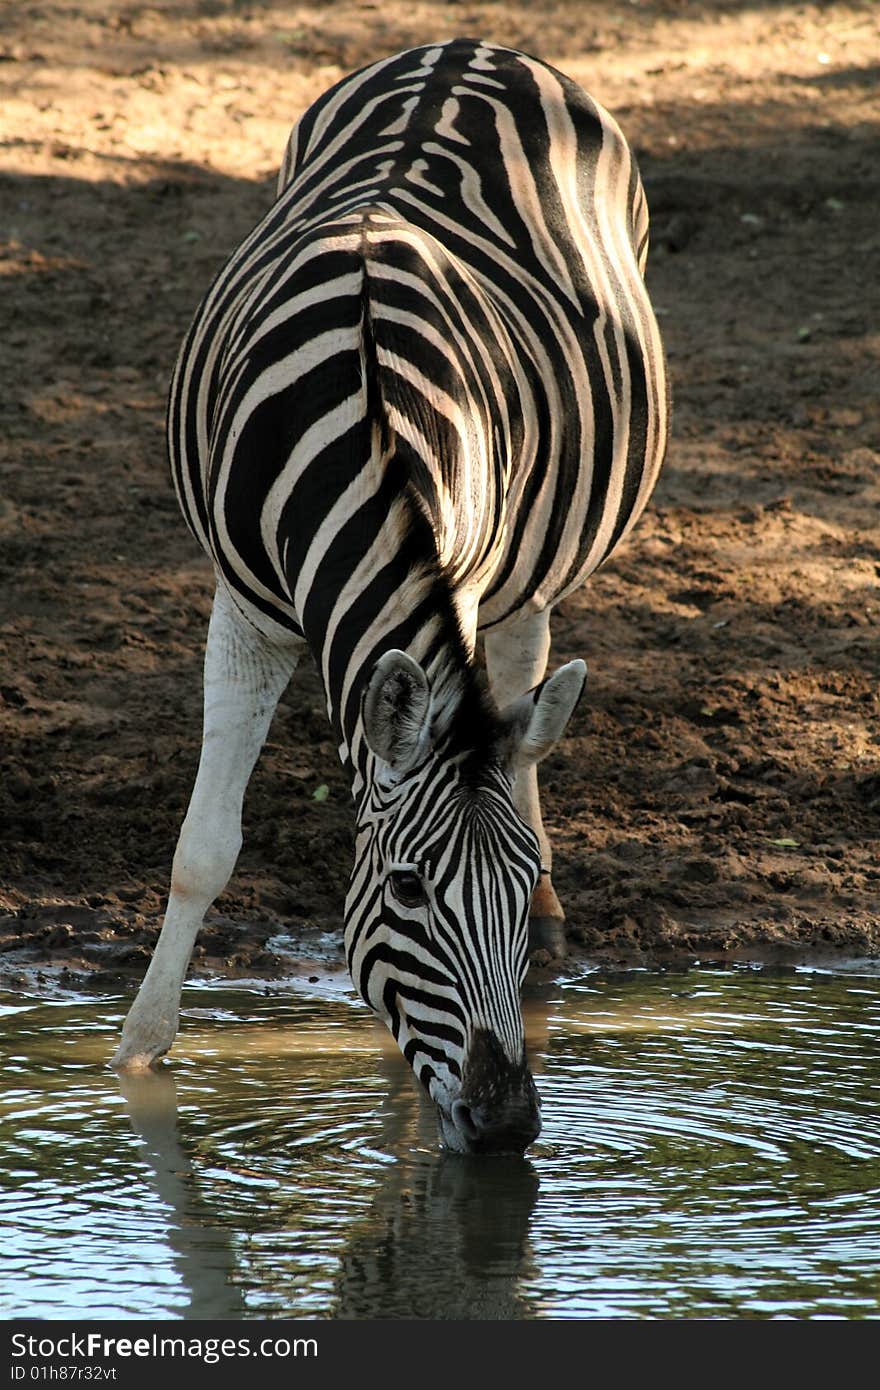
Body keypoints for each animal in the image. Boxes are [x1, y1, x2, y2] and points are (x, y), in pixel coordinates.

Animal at [111, 38, 664, 1156]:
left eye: (508, 884)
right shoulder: (244, 610)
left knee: (523, 691)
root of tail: (472, 47)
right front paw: (138, 1056)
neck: (362, 422)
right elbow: (202, 850)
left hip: (536, 551)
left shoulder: (469, 575)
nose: (504, 1125)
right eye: (407, 890)